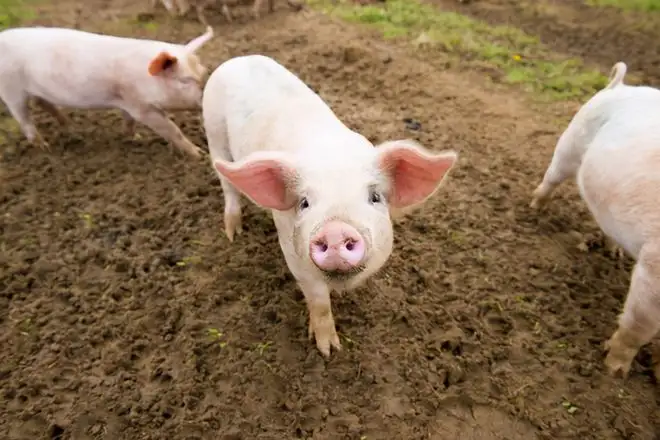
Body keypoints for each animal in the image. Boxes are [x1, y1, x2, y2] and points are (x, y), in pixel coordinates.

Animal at [0, 24, 214, 157]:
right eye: (185, 80)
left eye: (204, 72)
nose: (206, 96)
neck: (145, 79)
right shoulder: (141, 107)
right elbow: (172, 130)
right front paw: (199, 155)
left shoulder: (127, 102)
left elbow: (129, 122)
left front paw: (136, 138)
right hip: (11, 90)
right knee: (24, 119)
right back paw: (45, 148)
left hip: (37, 90)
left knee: (43, 103)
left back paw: (70, 129)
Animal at [202, 55, 458, 358]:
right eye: (304, 202)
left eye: (375, 197)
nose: (335, 231)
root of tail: (238, 59)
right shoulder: (293, 252)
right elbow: (319, 301)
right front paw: (328, 351)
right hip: (213, 131)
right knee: (227, 183)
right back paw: (234, 233)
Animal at [528, 60, 660, 380]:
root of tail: (620, 85)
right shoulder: (654, 266)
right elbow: (638, 326)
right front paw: (614, 372)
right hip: (570, 143)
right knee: (551, 178)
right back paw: (534, 209)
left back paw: (614, 254)